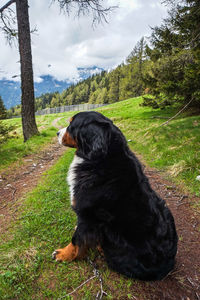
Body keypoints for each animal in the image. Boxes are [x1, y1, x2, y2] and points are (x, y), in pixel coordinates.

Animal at [52, 110, 177, 282]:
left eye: (71, 125)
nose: (57, 133)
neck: (100, 160)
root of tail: (168, 265)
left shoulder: (87, 216)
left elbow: (76, 240)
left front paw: (64, 254)